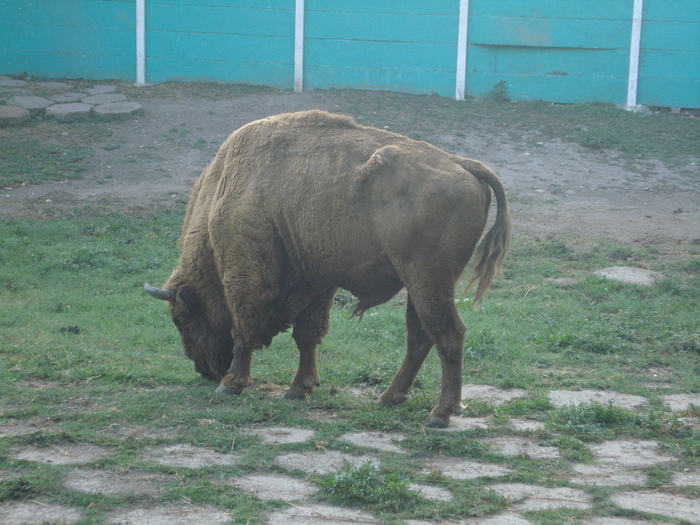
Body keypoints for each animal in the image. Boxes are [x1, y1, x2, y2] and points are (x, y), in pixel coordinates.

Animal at [146, 110, 508, 426]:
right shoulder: (316, 283)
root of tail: (464, 164)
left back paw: (440, 413)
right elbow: (306, 334)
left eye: (181, 321)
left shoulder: (246, 276)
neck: (223, 190)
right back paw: (389, 397)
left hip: (428, 280)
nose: (204, 371)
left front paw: (232, 384)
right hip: (421, 284)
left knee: (448, 334)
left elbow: (243, 330)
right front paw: (298, 388)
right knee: (420, 337)